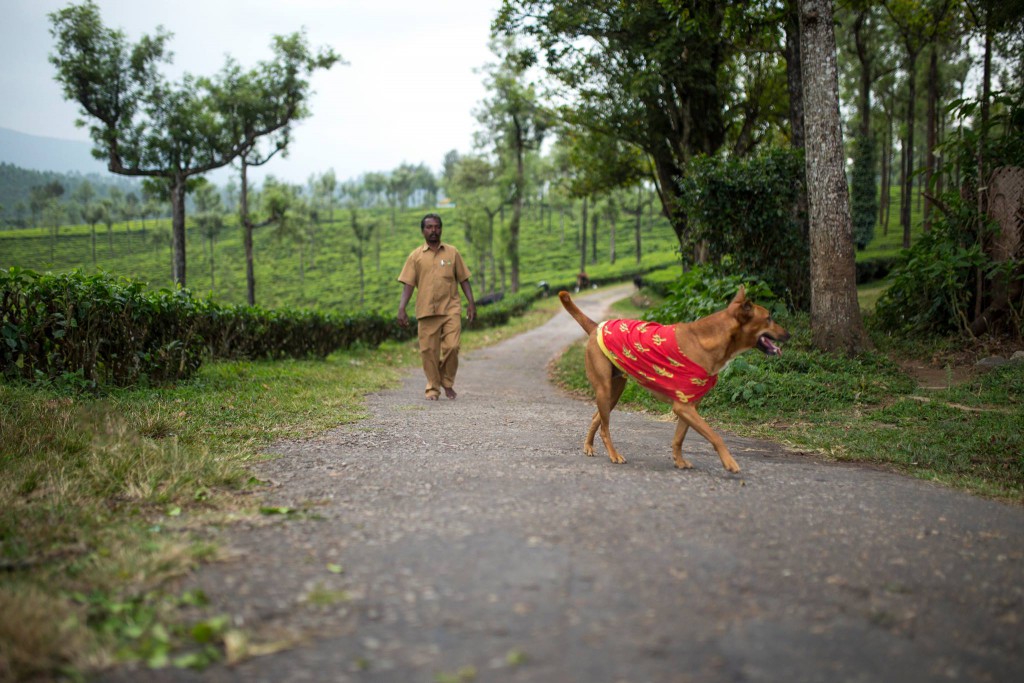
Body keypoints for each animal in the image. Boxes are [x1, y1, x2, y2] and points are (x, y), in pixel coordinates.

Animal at [561, 286, 790, 473]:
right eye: (769, 318)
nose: (788, 334)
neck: (710, 341)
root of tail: (596, 327)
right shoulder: (683, 407)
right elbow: (715, 436)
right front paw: (729, 462)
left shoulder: (689, 406)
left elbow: (679, 438)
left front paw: (679, 461)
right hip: (604, 388)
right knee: (605, 428)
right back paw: (613, 454)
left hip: (614, 391)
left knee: (596, 418)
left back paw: (589, 447)